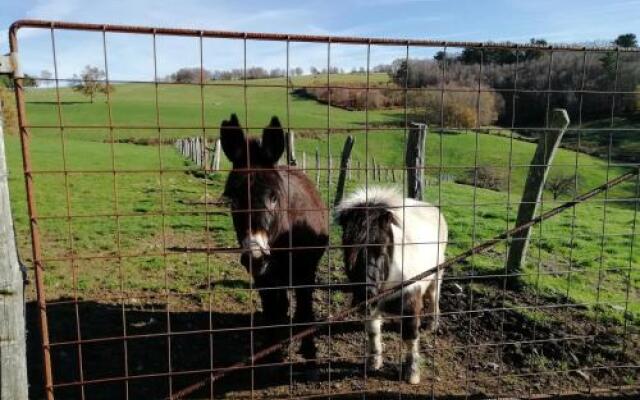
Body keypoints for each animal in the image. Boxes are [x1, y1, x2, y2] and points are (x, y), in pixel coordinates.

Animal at [336, 188, 450, 384]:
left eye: (382, 249)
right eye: (347, 250)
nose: (366, 295)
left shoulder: (411, 300)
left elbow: (410, 336)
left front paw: (412, 374)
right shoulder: (373, 308)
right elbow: (373, 332)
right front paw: (373, 363)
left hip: (437, 274)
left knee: (434, 297)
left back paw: (432, 325)